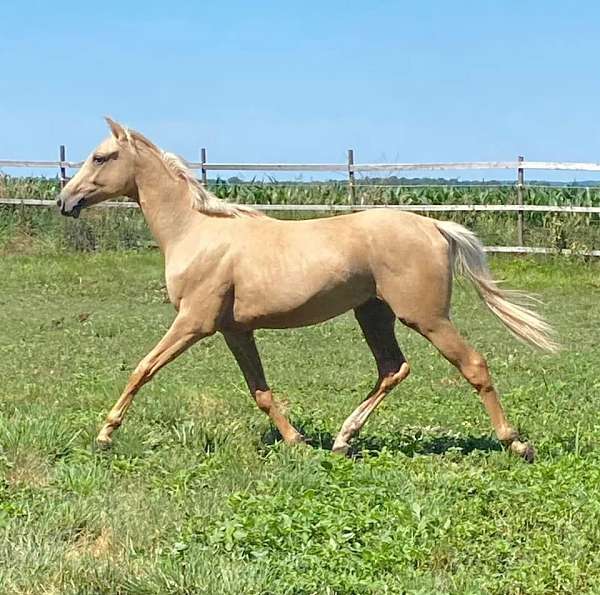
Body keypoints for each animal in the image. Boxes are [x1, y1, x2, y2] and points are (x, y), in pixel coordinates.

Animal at [57, 120, 556, 460]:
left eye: (100, 157)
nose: (65, 201)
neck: (196, 231)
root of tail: (434, 226)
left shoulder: (193, 322)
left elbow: (142, 369)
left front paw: (104, 434)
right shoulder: (234, 331)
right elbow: (260, 391)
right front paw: (296, 440)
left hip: (426, 317)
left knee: (472, 365)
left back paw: (517, 444)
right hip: (373, 313)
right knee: (393, 368)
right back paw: (342, 439)